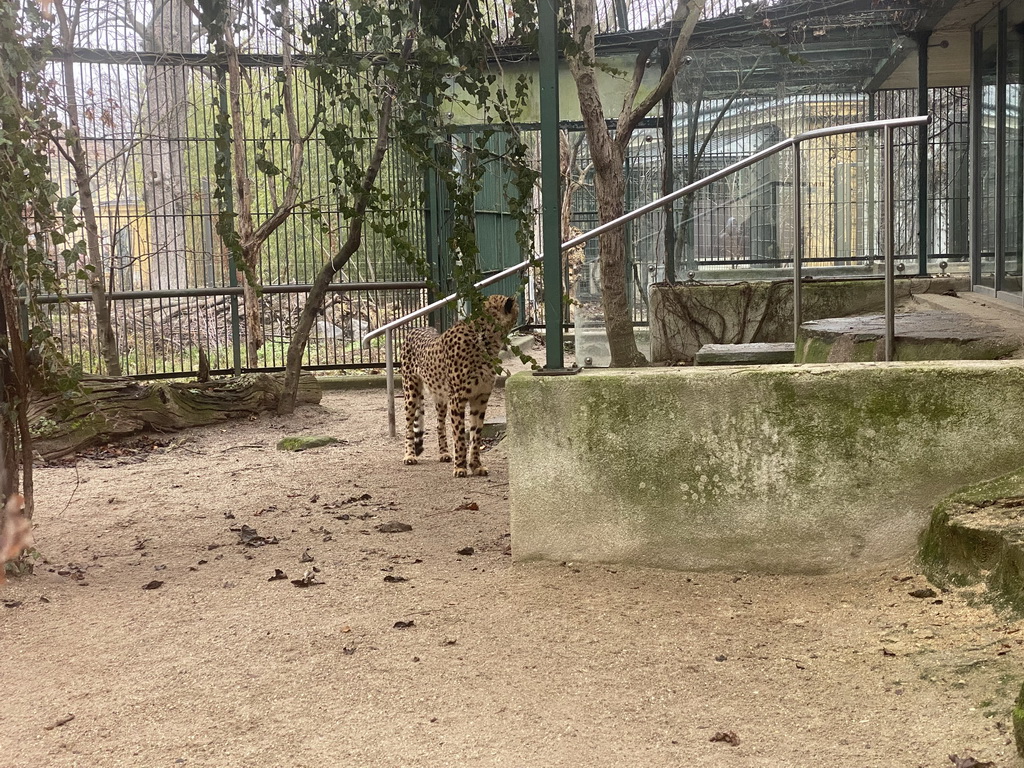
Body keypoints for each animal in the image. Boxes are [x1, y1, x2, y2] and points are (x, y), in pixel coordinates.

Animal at [401, 292, 520, 475]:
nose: (520, 314)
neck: (486, 340)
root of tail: (418, 328)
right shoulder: (458, 398)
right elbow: (459, 434)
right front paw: (460, 467)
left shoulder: (481, 397)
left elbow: (476, 434)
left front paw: (476, 465)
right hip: (411, 391)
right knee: (408, 424)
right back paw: (409, 455)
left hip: (440, 396)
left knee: (439, 425)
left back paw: (444, 453)